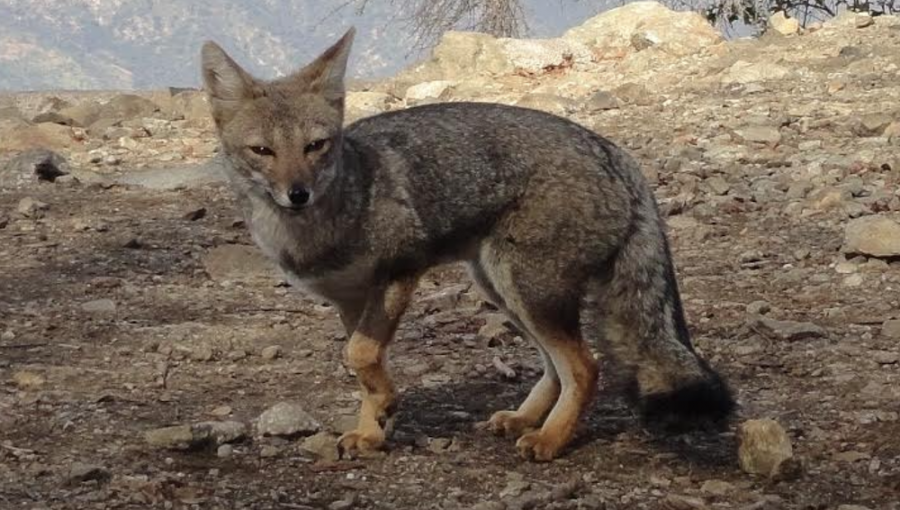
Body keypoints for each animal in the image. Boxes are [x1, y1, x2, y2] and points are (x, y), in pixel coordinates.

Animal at [200, 26, 736, 462]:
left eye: (316, 146)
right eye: (262, 151)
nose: (298, 193)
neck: (328, 221)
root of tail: (613, 151)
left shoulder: (401, 272)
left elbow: (359, 355)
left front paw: (384, 411)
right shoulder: (352, 301)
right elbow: (363, 363)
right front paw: (373, 430)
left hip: (526, 288)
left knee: (585, 368)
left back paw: (550, 439)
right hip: (500, 287)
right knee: (556, 366)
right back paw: (526, 419)